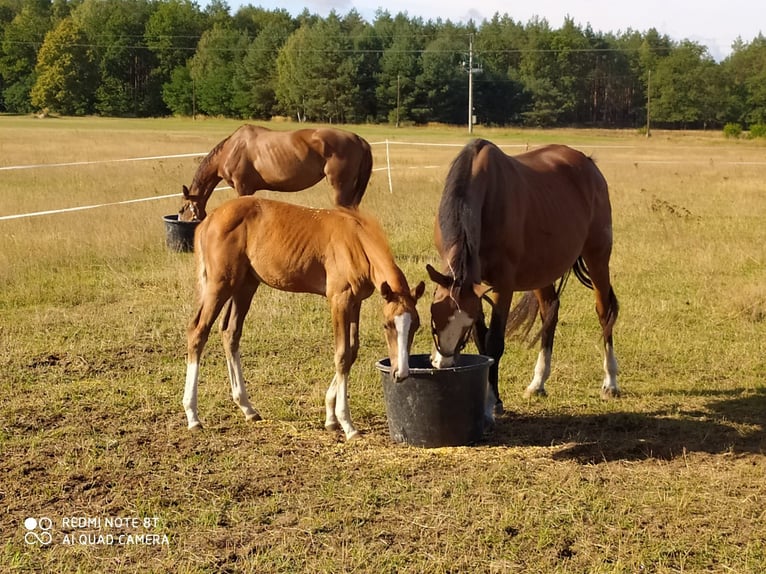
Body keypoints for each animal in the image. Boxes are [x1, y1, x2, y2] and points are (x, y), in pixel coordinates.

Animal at [183, 196, 425, 440]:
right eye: (387, 325)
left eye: (415, 326)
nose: (401, 373)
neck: (356, 241)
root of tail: (210, 218)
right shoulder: (339, 299)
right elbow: (341, 355)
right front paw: (347, 424)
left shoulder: (356, 302)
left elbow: (352, 350)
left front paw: (330, 418)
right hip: (220, 284)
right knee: (198, 331)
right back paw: (193, 416)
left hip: (245, 285)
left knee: (230, 333)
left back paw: (247, 408)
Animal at [426, 139, 620, 419]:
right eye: (434, 318)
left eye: (462, 327)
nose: (444, 363)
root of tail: (588, 164)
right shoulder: (475, 289)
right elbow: (481, 340)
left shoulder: (502, 285)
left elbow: (494, 342)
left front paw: (492, 403)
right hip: (542, 269)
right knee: (550, 312)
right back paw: (538, 382)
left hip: (598, 257)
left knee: (605, 313)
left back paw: (611, 382)